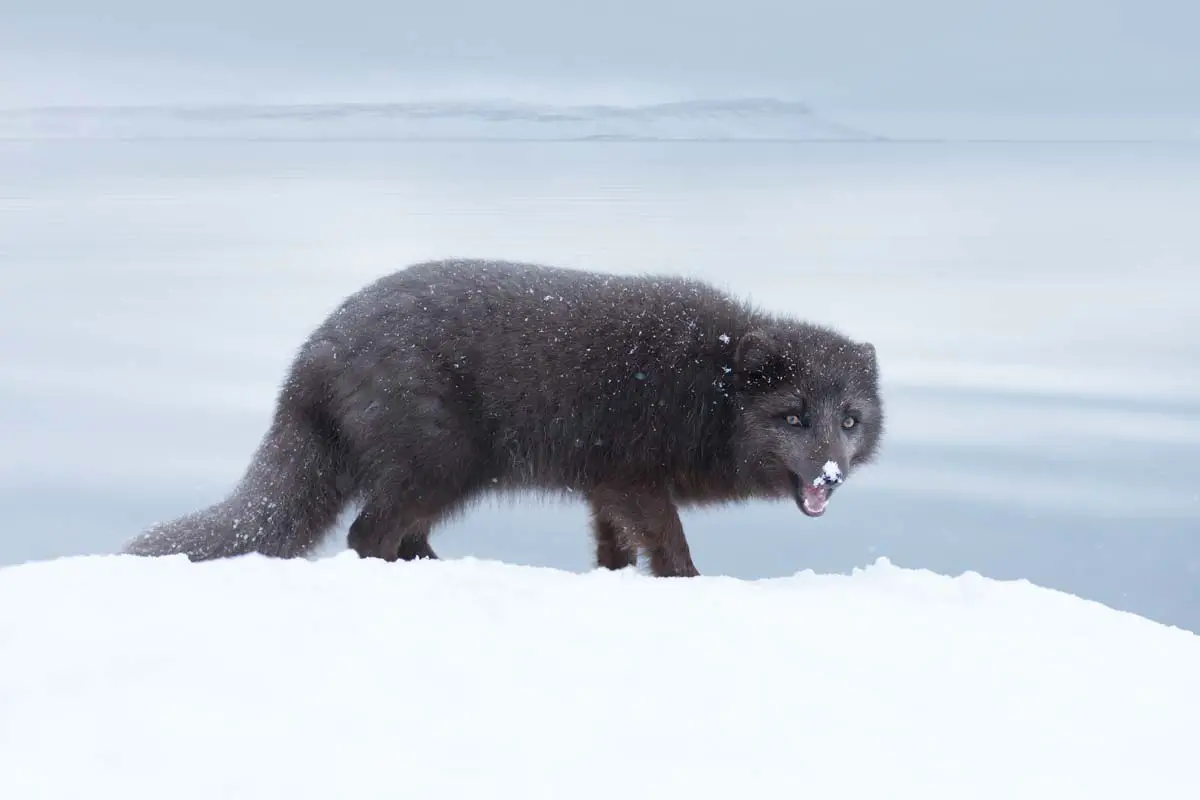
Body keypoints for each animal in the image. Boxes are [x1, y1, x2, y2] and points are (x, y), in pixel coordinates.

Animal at [126, 260, 888, 578]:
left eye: (850, 420)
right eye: (793, 415)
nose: (829, 473)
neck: (706, 386)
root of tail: (309, 359)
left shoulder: (604, 486)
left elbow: (613, 549)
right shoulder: (636, 476)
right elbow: (671, 547)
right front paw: (689, 584)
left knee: (401, 537)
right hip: (441, 463)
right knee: (368, 534)